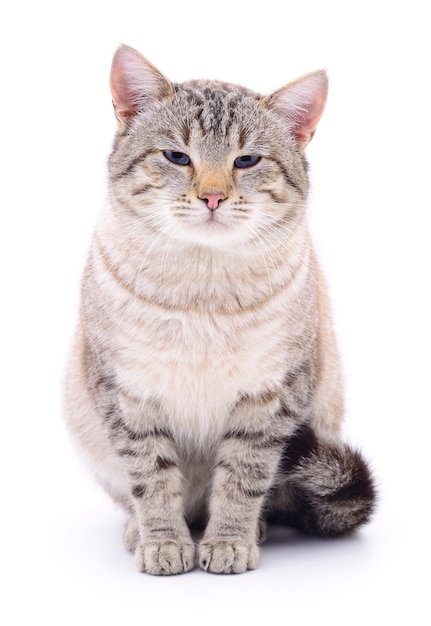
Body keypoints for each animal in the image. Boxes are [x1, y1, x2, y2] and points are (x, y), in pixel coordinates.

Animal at [62, 42, 376, 572]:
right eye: (177, 157)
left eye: (246, 161)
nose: (212, 196)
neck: (202, 293)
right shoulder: (127, 394)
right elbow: (152, 480)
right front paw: (163, 542)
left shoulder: (270, 397)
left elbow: (242, 480)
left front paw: (230, 542)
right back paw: (140, 530)